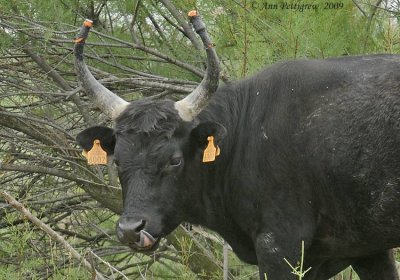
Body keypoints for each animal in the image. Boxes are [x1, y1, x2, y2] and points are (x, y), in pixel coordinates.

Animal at [76, 18, 400, 280]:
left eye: (175, 161)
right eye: (118, 161)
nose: (131, 229)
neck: (246, 133)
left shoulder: (279, 245)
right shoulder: (366, 250)